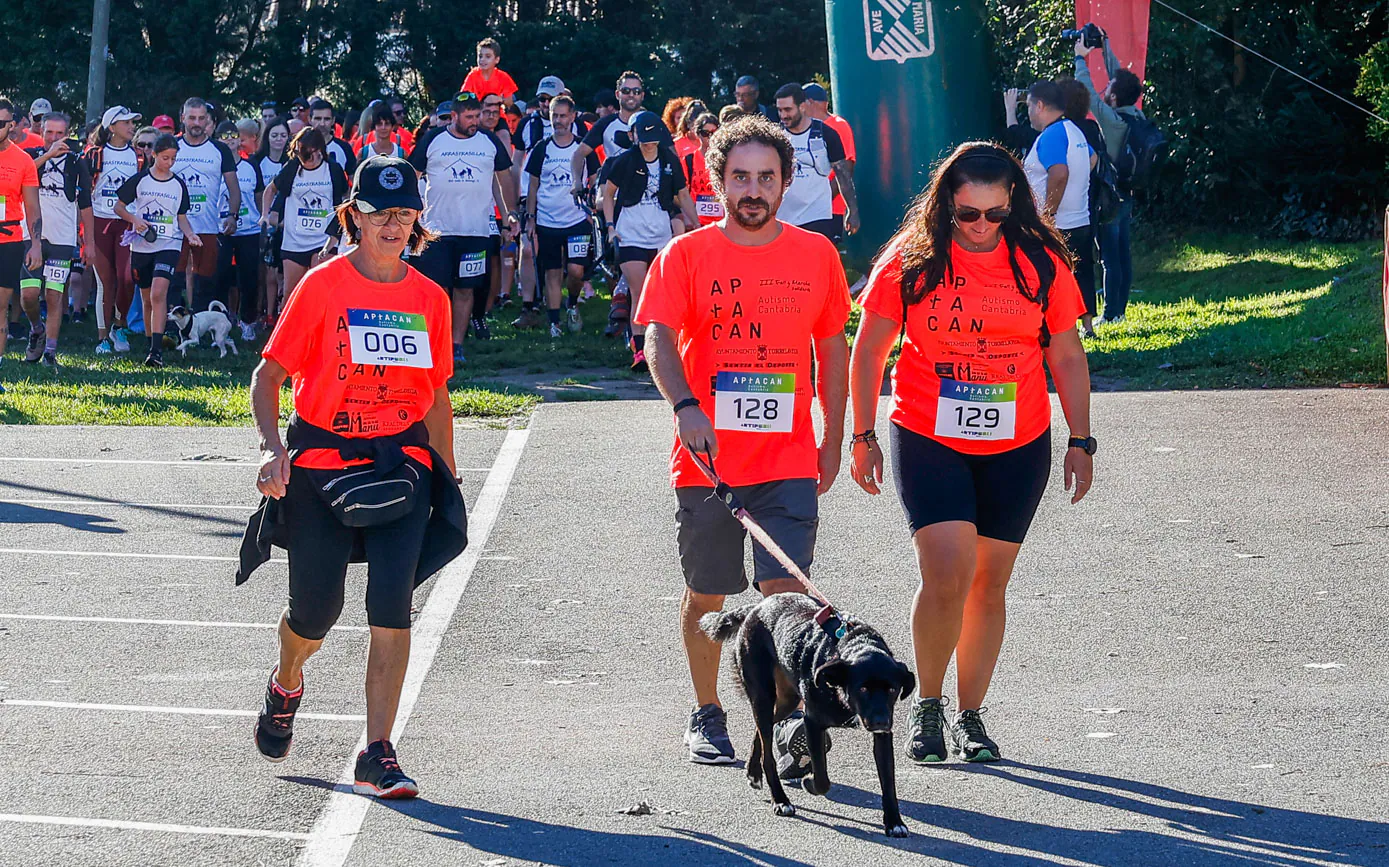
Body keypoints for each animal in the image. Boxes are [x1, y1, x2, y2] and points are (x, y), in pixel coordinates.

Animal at [700, 591, 916, 839]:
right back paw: (780, 800)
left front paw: (894, 822)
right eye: (862, 689)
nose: (881, 720)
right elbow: (822, 778)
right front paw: (809, 783)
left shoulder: (882, 735)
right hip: (763, 696)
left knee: (762, 731)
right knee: (768, 754)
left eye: (892, 689)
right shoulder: (812, 722)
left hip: (786, 701)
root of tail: (756, 608)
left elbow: (888, 781)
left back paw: (753, 772)